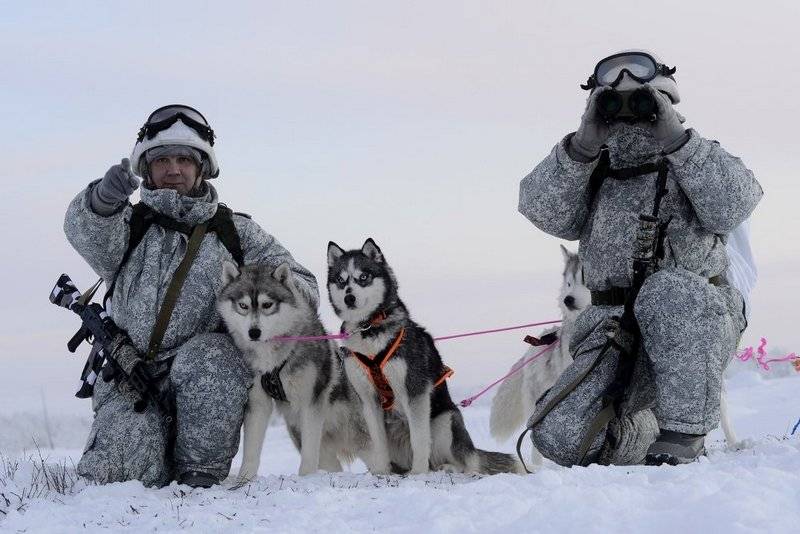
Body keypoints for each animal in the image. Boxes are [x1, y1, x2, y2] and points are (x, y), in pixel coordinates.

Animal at [216, 264, 372, 482]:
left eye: (267, 304)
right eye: (243, 305)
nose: (254, 333)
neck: (274, 359)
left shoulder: (311, 404)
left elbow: (309, 455)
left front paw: (305, 478)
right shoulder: (258, 403)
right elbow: (251, 451)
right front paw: (243, 481)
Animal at [326, 239, 524, 478]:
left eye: (363, 276)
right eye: (341, 280)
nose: (349, 297)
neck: (369, 329)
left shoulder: (415, 392)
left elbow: (420, 440)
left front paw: (418, 472)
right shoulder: (368, 400)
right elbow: (379, 444)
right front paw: (381, 472)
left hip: (445, 421)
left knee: (465, 464)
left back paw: (447, 467)